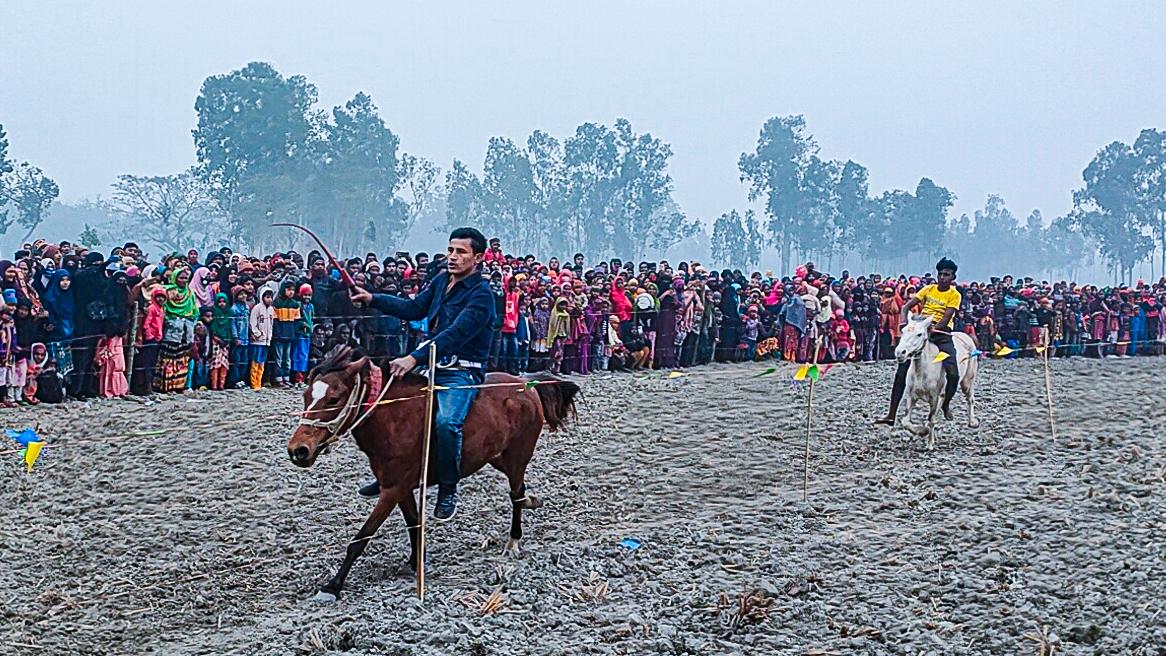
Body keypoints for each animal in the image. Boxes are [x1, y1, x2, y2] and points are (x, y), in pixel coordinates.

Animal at [282, 347, 573, 601]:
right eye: (306, 396)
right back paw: (532, 502)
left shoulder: (393, 489)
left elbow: (361, 538)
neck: (394, 416)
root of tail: (526, 384)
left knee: (515, 495)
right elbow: (413, 523)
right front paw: (416, 560)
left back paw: (513, 540)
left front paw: (332, 587)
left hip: (517, 456)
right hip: (496, 457)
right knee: (520, 492)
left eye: (333, 398)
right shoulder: (400, 488)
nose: (298, 450)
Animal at [895, 314, 979, 449]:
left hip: (967, 381)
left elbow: (932, 419)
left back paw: (972, 422)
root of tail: (966, 336)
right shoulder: (911, 396)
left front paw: (929, 444)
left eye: (919, 334)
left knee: (970, 399)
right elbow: (906, 422)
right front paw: (922, 431)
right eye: (902, 331)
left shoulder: (937, 398)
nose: (900, 352)